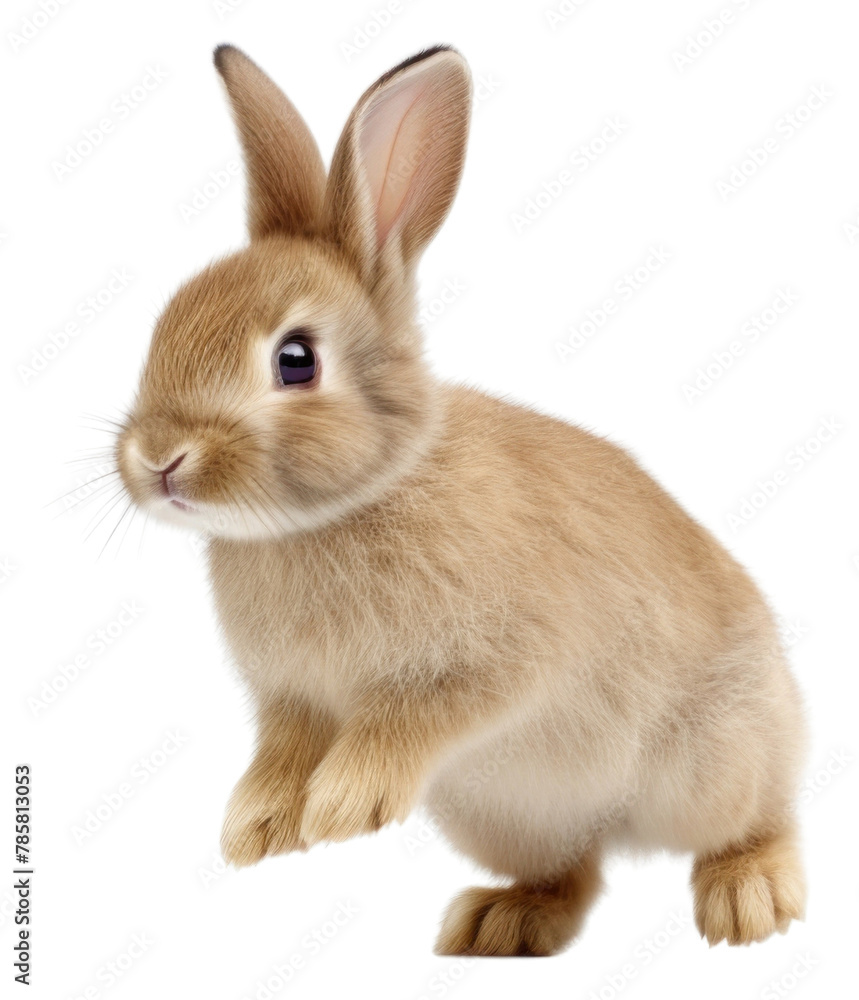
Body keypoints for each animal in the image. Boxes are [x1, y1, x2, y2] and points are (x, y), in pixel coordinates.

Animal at [115, 44, 808, 956]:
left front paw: (342, 805)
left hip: (717, 762)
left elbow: (414, 717)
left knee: (758, 816)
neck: (338, 510)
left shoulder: (498, 658)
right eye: (165, 325)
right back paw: (497, 923)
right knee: (571, 871)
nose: (157, 458)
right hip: (514, 823)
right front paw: (258, 827)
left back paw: (748, 897)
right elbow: (283, 753)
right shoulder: (292, 702)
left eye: (295, 360)